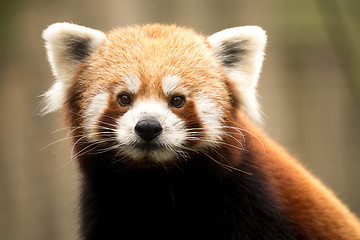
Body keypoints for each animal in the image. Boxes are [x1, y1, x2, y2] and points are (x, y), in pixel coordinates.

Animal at [42, 23, 360, 240]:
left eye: (177, 100)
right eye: (124, 98)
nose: (148, 127)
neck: (158, 187)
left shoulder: (253, 202)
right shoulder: (108, 207)